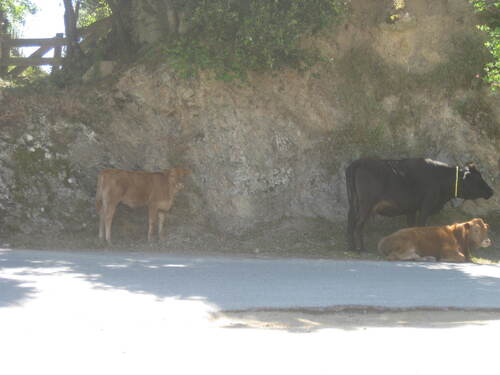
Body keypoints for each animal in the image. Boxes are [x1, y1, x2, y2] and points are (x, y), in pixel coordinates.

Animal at [346, 159, 494, 253]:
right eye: (478, 178)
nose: (491, 191)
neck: (440, 178)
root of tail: (359, 162)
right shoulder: (426, 207)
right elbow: (421, 225)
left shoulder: (411, 210)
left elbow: (411, 227)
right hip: (366, 204)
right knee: (359, 224)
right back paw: (361, 249)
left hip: (354, 204)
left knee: (351, 222)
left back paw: (351, 247)